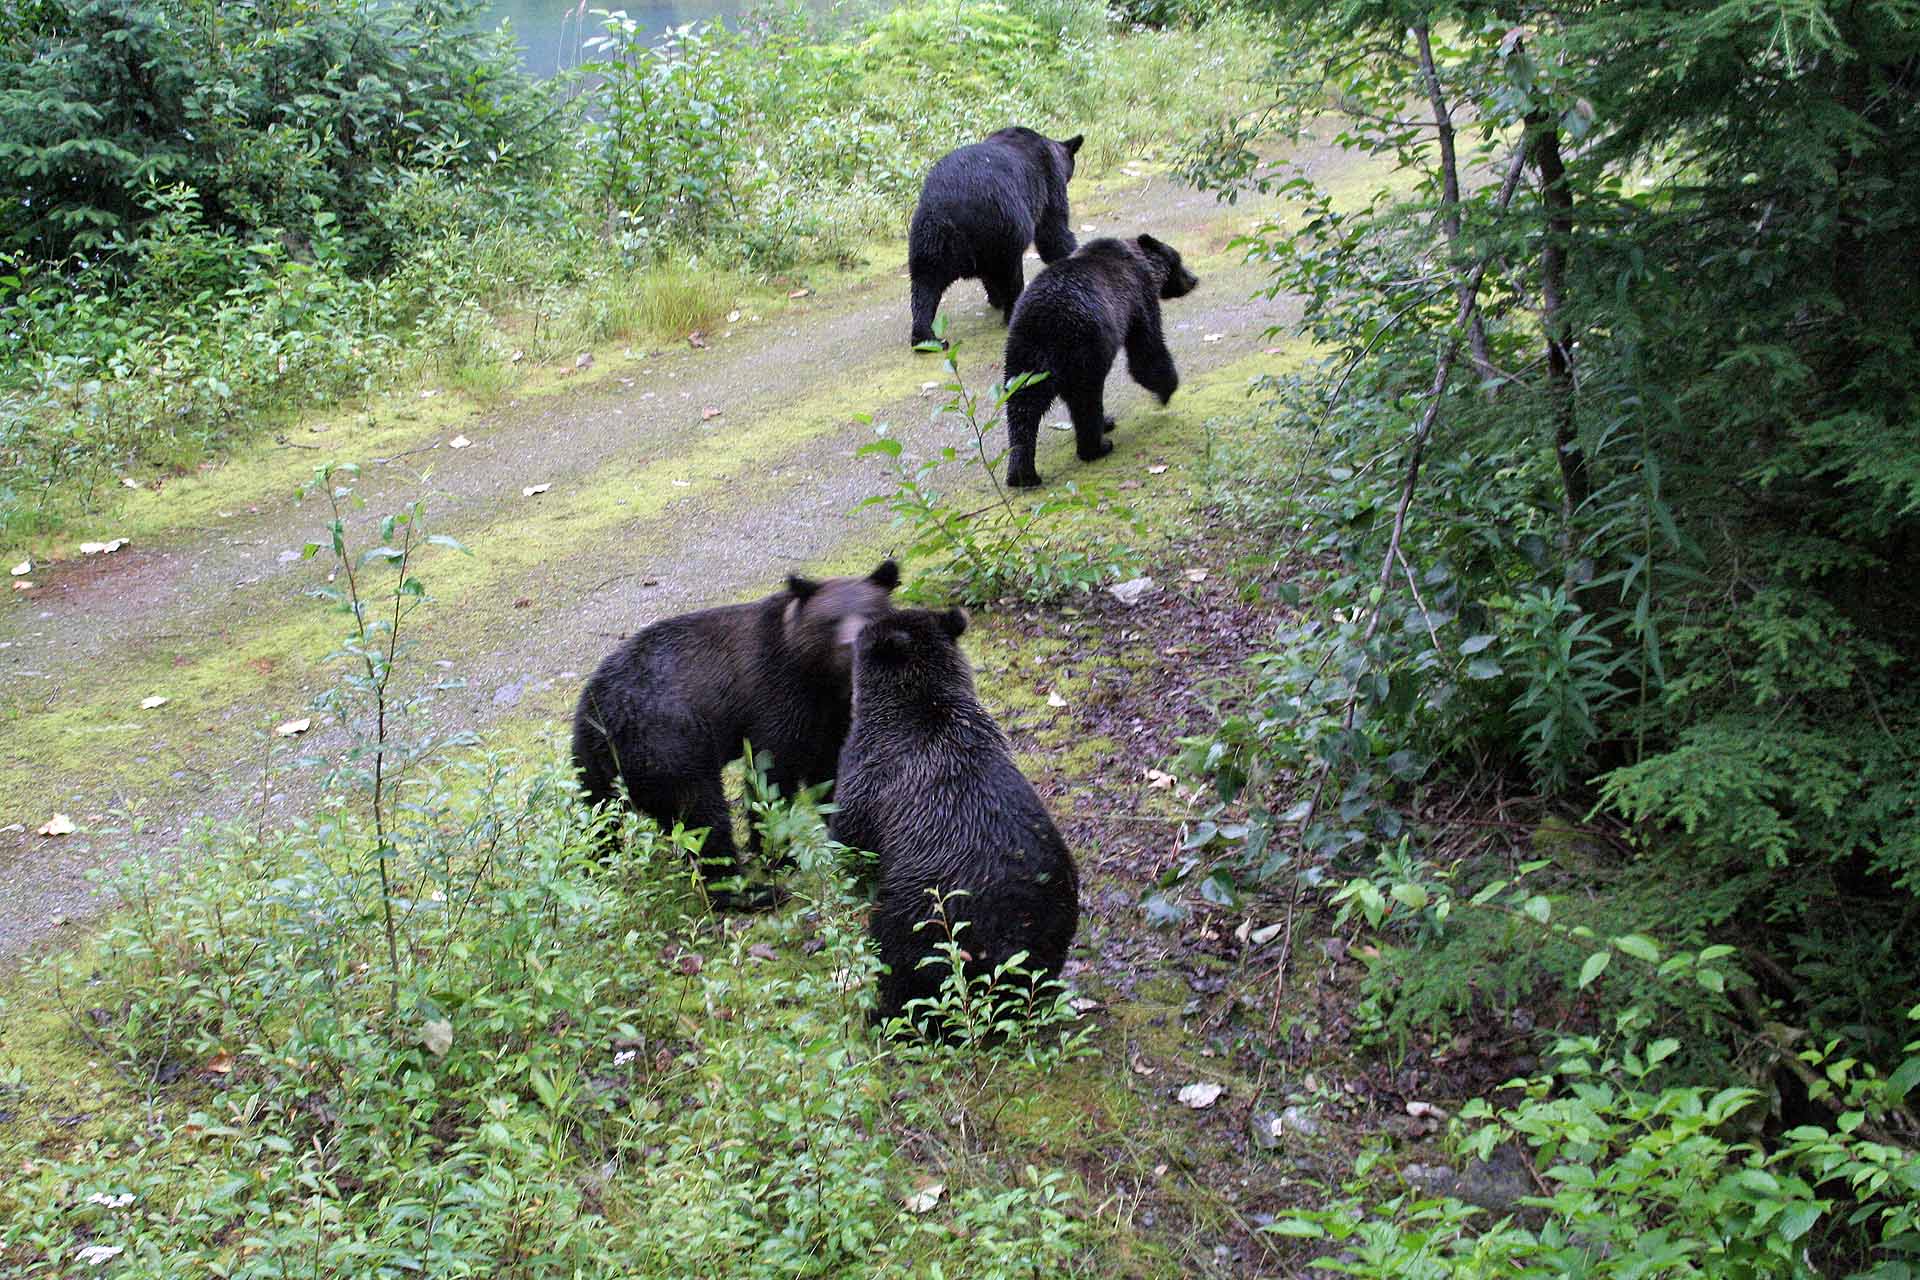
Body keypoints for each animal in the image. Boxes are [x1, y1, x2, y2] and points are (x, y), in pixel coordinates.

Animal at [571, 561, 899, 908]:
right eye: (831, 620)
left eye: (870, 612)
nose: (853, 645)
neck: (821, 680)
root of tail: (599, 719)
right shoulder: (776, 695)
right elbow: (770, 775)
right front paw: (778, 855)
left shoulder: (826, 715)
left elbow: (830, 770)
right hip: (669, 741)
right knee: (704, 816)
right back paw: (749, 891)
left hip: (594, 768)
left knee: (599, 821)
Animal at [829, 607, 1080, 1030]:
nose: (851, 630)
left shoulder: (869, 776)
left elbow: (850, 840)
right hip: (1054, 914)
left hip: (924, 917)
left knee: (905, 970)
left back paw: (885, 1016)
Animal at [907, 127, 1084, 349]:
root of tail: (949, 214)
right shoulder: (1048, 181)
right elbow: (1053, 230)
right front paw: (1070, 252)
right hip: (1004, 231)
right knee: (1010, 274)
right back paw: (1012, 310)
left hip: (928, 240)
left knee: (924, 286)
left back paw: (926, 337)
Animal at [1000, 234, 1200, 488]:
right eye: (1178, 261)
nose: (1193, 279)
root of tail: (1043, 321)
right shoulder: (1138, 298)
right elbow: (1147, 351)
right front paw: (1166, 390)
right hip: (1084, 349)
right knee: (1086, 399)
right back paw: (1097, 447)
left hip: (1024, 357)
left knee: (1022, 407)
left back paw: (1021, 474)